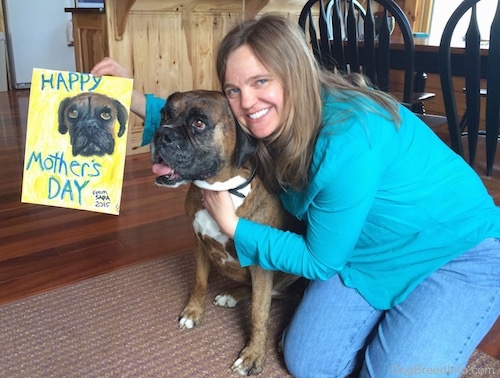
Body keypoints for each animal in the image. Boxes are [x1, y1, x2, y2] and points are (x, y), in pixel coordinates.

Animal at [150, 91, 298, 376]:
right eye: (165, 114)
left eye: (199, 123)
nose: (161, 133)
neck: (222, 191)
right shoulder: (199, 243)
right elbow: (199, 281)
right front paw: (193, 312)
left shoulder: (261, 265)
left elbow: (259, 314)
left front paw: (253, 356)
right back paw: (232, 295)